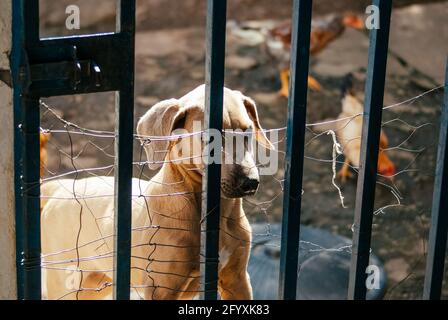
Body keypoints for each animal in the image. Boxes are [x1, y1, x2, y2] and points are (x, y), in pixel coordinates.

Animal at [41, 85, 272, 300]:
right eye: (209, 139)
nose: (250, 183)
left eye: (247, 132)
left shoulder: (237, 280)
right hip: (66, 282)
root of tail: (60, 188)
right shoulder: (161, 289)